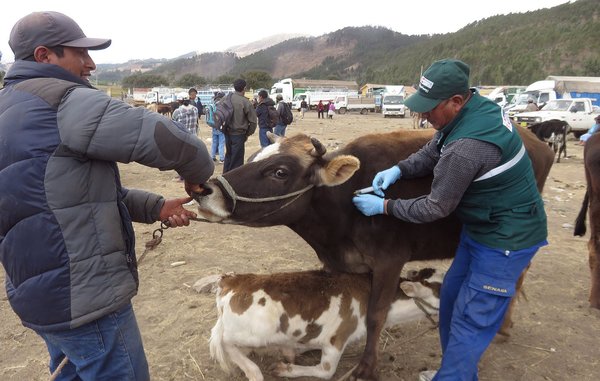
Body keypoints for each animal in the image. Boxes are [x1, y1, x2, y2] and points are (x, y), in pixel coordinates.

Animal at [209, 268, 442, 380]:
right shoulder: (337, 338)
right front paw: (286, 369)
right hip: (256, 333)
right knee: (222, 340)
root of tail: (231, 280)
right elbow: (326, 371)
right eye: (443, 290)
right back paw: (254, 372)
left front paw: (292, 352)